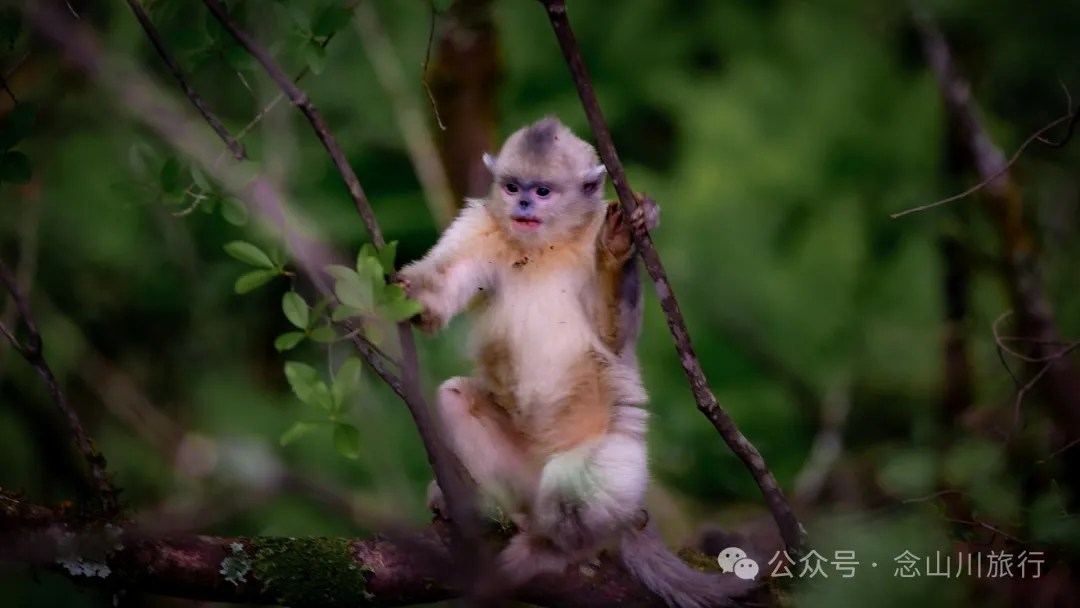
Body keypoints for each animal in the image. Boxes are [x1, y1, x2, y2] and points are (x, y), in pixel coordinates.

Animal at [398, 117, 758, 608]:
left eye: (543, 191)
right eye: (512, 186)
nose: (523, 203)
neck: (547, 244)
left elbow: (613, 338)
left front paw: (619, 243)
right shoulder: (480, 226)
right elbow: (438, 297)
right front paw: (402, 296)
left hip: (616, 468)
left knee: (575, 484)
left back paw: (554, 551)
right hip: (527, 477)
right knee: (456, 399)